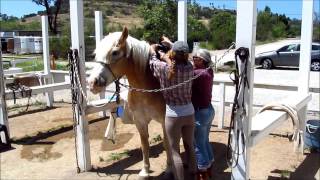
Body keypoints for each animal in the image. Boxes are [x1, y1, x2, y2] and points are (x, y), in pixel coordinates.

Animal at [87, 27, 170, 177]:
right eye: (95, 54)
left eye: (115, 52)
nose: (92, 83)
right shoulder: (140, 121)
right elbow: (144, 145)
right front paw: (145, 170)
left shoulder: (164, 120)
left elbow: (167, 144)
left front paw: (169, 168)